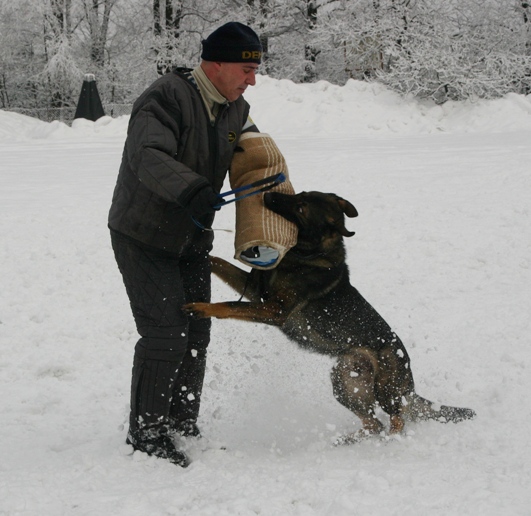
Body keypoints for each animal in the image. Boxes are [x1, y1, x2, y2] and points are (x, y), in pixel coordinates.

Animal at [185, 191, 476, 442]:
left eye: (301, 207)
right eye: (300, 193)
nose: (268, 194)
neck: (309, 253)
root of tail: (410, 383)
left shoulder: (274, 310)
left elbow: (229, 305)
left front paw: (203, 307)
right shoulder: (258, 294)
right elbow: (220, 262)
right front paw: (203, 256)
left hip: (384, 388)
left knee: (397, 418)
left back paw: (391, 441)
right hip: (344, 380)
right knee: (374, 423)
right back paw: (348, 441)